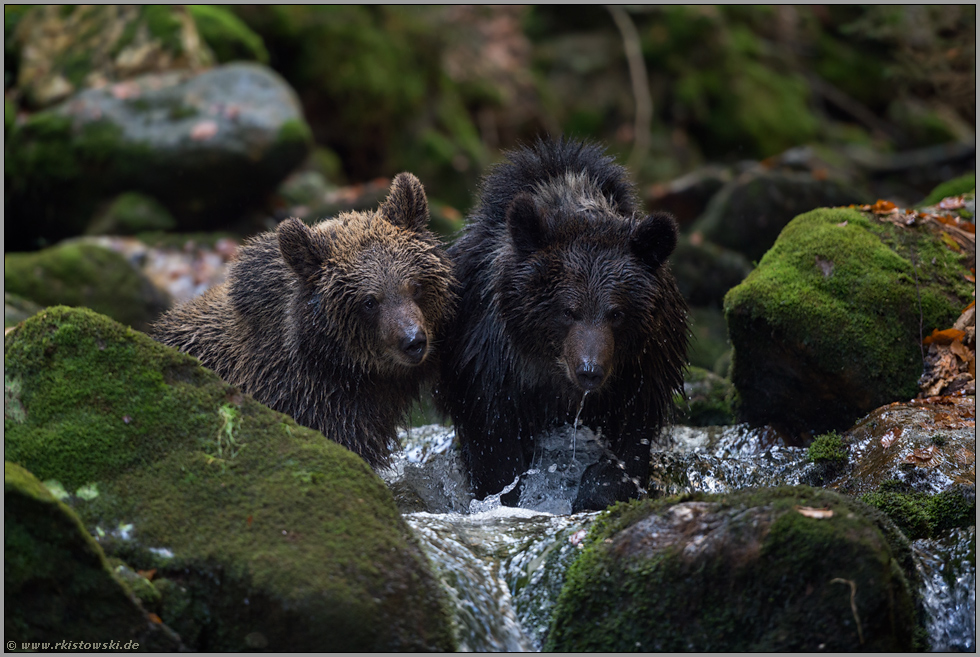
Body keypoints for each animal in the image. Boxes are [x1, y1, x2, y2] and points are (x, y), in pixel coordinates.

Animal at [436, 137, 688, 508]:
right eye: (568, 310)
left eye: (616, 313)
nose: (589, 370)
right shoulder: (491, 365)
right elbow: (496, 453)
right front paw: (507, 493)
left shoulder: (641, 367)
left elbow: (631, 441)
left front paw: (598, 489)